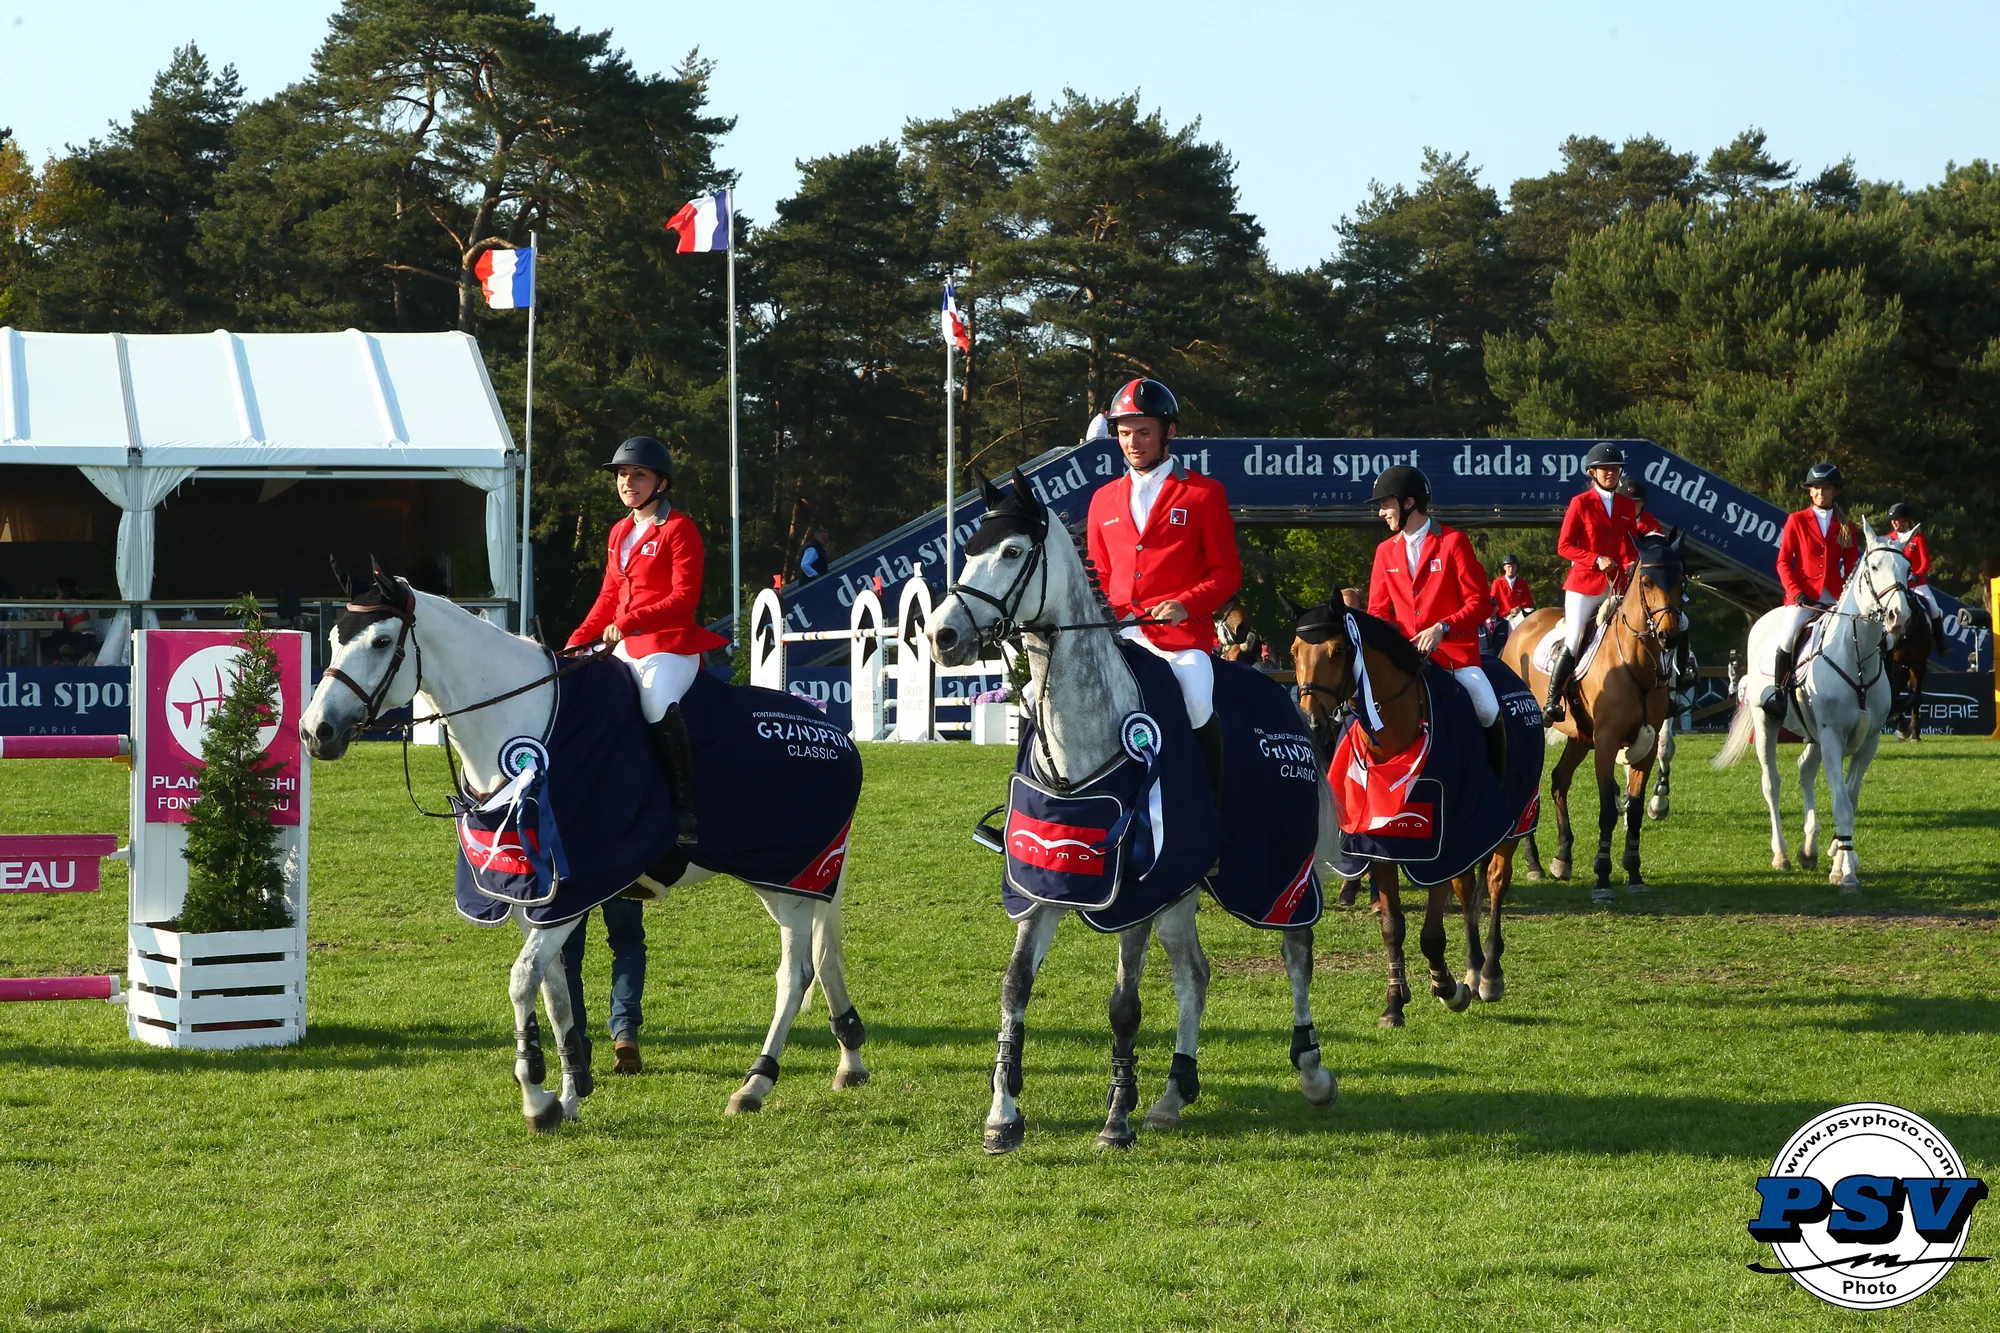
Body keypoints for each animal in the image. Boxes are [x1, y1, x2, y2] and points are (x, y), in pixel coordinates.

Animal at [298, 564, 868, 1131]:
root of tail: (833, 729)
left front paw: (535, 1095)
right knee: (822, 958)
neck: (529, 724)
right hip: (789, 879)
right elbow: (555, 992)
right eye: (334, 638)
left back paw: (755, 1084)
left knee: (795, 973)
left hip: (792, 878)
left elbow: (522, 981)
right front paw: (569, 1092)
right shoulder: (535, 895)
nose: (314, 731)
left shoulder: (572, 891)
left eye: (381, 641)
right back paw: (849, 1061)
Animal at [928, 471, 1337, 1153]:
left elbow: (1124, 1005)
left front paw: (1116, 1118)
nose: (941, 637)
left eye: (1011, 552)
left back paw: (1311, 1072)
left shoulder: (1138, 895)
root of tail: (1287, 702)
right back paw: (1174, 1093)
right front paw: (1003, 1113)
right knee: (1196, 973)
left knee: (1296, 949)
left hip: (1271, 868)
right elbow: (1015, 986)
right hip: (1184, 886)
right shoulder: (1044, 882)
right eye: (967, 553)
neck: (1081, 744)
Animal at [1292, 608, 1536, 1026]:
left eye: (1338, 650)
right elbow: (1393, 927)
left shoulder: (1439, 847)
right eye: (1294, 651)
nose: (1310, 722)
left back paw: (1488, 975)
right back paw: (1473, 968)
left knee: (1495, 883)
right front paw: (1395, 1002)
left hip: (1514, 823)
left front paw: (1448, 988)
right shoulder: (1382, 846)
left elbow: (1432, 935)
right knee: (1467, 888)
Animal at [1506, 532, 1688, 904]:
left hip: (1580, 736)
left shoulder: (1644, 746)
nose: (1669, 636)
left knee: (1559, 781)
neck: (1635, 662)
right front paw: (1603, 878)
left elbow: (1635, 810)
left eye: (1681, 581)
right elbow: (1606, 809)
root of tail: (1522, 627)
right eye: (1646, 581)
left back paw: (1562, 858)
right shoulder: (1606, 742)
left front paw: (1634, 873)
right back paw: (1534, 863)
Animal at [1714, 521, 1913, 891]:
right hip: (1768, 724)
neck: (1855, 656)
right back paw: (1782, 854)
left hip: (1816, 736)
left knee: (1805, 770)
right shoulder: (1832, 736)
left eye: (1908, 570)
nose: (1899, 617)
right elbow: (1841, 804)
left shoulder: (1868, 742)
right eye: (1873, 567)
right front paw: (1846, 873)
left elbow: (1849, 798)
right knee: (1772, 783)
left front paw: (1841, 854)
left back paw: (1809, 848)